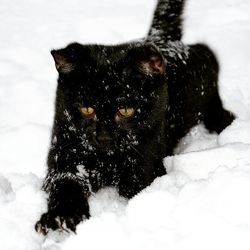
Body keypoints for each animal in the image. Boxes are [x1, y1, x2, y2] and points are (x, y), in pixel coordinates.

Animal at [35, 0, 234, 234]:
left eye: (126, 110)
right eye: (87, 109)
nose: (103, 137)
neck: (105, 162)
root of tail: (160, 40)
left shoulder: (143, 169)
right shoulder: (63, 157)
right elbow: (65, 185)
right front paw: (61, 218)